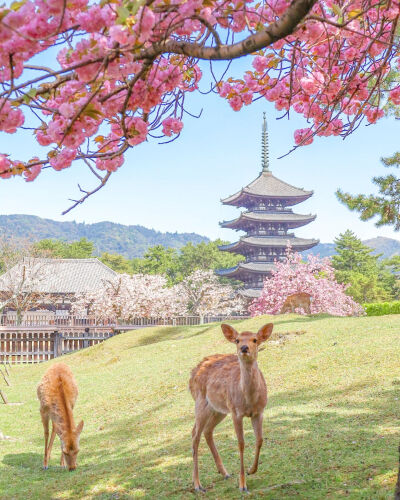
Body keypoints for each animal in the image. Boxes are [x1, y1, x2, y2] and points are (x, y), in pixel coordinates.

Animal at [189, 324, 274, 492]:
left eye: (255, 339)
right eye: (237, 340)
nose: (244, 348)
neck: (249, 400)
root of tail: (192, 373)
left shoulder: (259, 412)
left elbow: (259, 439)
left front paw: (251, 470)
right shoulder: (236, 412)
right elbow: (240, 443)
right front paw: (242, 485)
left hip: (218, 409)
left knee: (207, 430)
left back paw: (225, 473)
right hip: (201, 403)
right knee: (195, 434)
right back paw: (198, 484)